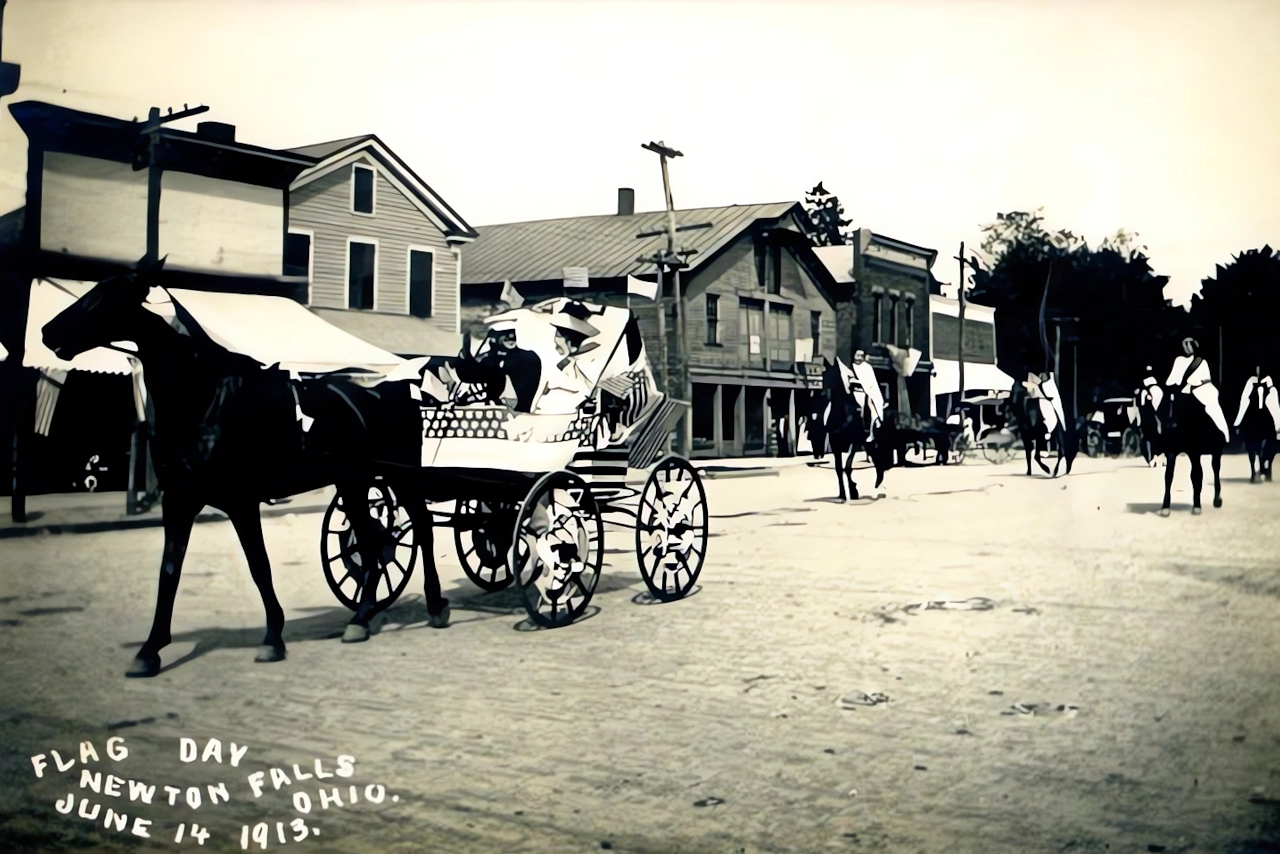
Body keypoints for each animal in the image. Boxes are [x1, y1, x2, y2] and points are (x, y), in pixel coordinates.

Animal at [41, 257, 450, 676]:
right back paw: (362, 617)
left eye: (105, 295)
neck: (208, 398)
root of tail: (398, 385)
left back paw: (434, 604)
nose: (46, 331)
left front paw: (272, 637)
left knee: (421, 528)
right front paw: (150, 649)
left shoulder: (240, 501)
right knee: (372, 542)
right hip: (353, 481)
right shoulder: (179, 499)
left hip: (400, 476)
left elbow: (259, 566)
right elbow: (169, 570)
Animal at [803, 358, 896, 501]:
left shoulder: (854, 443)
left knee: (878, 453)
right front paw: (843, 493)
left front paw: (853, 490)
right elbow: (839, 469)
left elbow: (847, 466)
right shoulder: (835, 444)